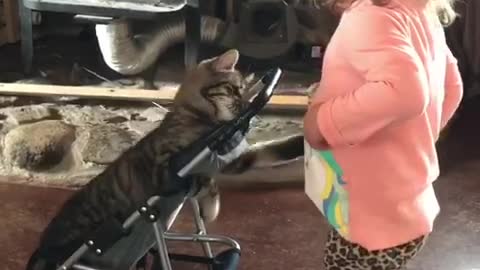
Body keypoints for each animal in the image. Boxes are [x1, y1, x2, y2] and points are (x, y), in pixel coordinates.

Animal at [25, 49, 258, 270]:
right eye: (235, 90)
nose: (247, 105)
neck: (199, 116)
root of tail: (42, 247)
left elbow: (208, 180)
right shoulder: (166, 170)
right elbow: (203, 178)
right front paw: (211, 207)